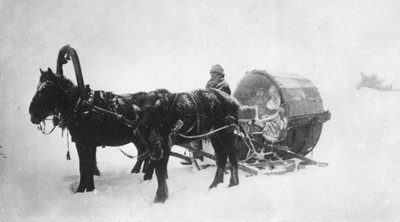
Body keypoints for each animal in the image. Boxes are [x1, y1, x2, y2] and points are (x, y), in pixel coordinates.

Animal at [28, 67, 166, 193]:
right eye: (38, 86)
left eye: (46, 88)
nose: (32, 112)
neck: (82, 107)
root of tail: (158, 96)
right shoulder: (81, 143)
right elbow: (84, 167)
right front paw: (82, 189)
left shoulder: (89, 144)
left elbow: (88, 167)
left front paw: (88, 189)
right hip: (137, 138)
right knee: (144, 153)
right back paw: (137, 173)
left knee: (153, 155)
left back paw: (147, 176)